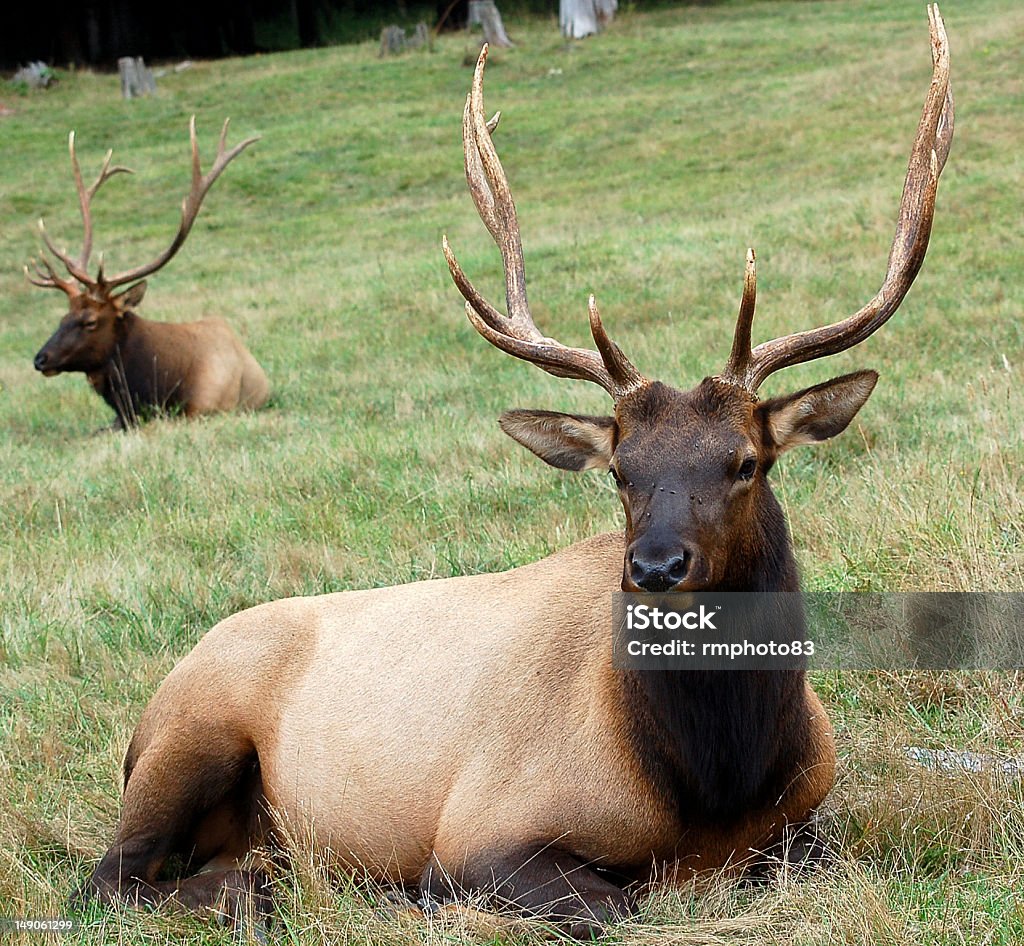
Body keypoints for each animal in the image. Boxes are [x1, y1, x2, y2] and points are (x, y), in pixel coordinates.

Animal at [27, 117, 268, 427]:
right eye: (63, 317)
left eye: (90, 321)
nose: (40, 359)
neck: (157, 389)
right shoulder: (119, 419)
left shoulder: (205, 410)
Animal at [77, 7, 950, 937]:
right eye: (619, 469)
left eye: (746, 461)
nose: (654, 568)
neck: (716, 782)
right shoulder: (482, 828)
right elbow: (619, 903)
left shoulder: (809, 816)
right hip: (192, 728)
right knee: (106, 877)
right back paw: (253, 892)